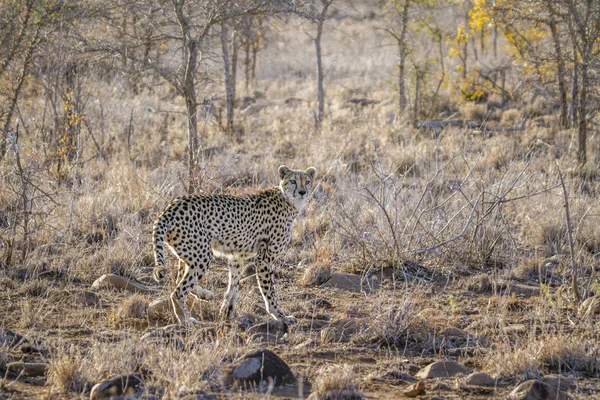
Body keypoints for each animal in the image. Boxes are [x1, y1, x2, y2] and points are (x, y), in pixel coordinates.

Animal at [152, 166, 316, 324]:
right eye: (293, 181)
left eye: (307, 181)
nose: (302, 192)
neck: (288, 201)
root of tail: (170, 207)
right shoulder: (264, 259)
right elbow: (269, 292)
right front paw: (280, 316)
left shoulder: (236, 257)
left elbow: (233, 286)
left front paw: (226, 311)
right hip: (202, 256)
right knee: (178, 291)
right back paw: (185, 320)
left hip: (189, 253)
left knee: (178, 281)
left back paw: (204, 295)